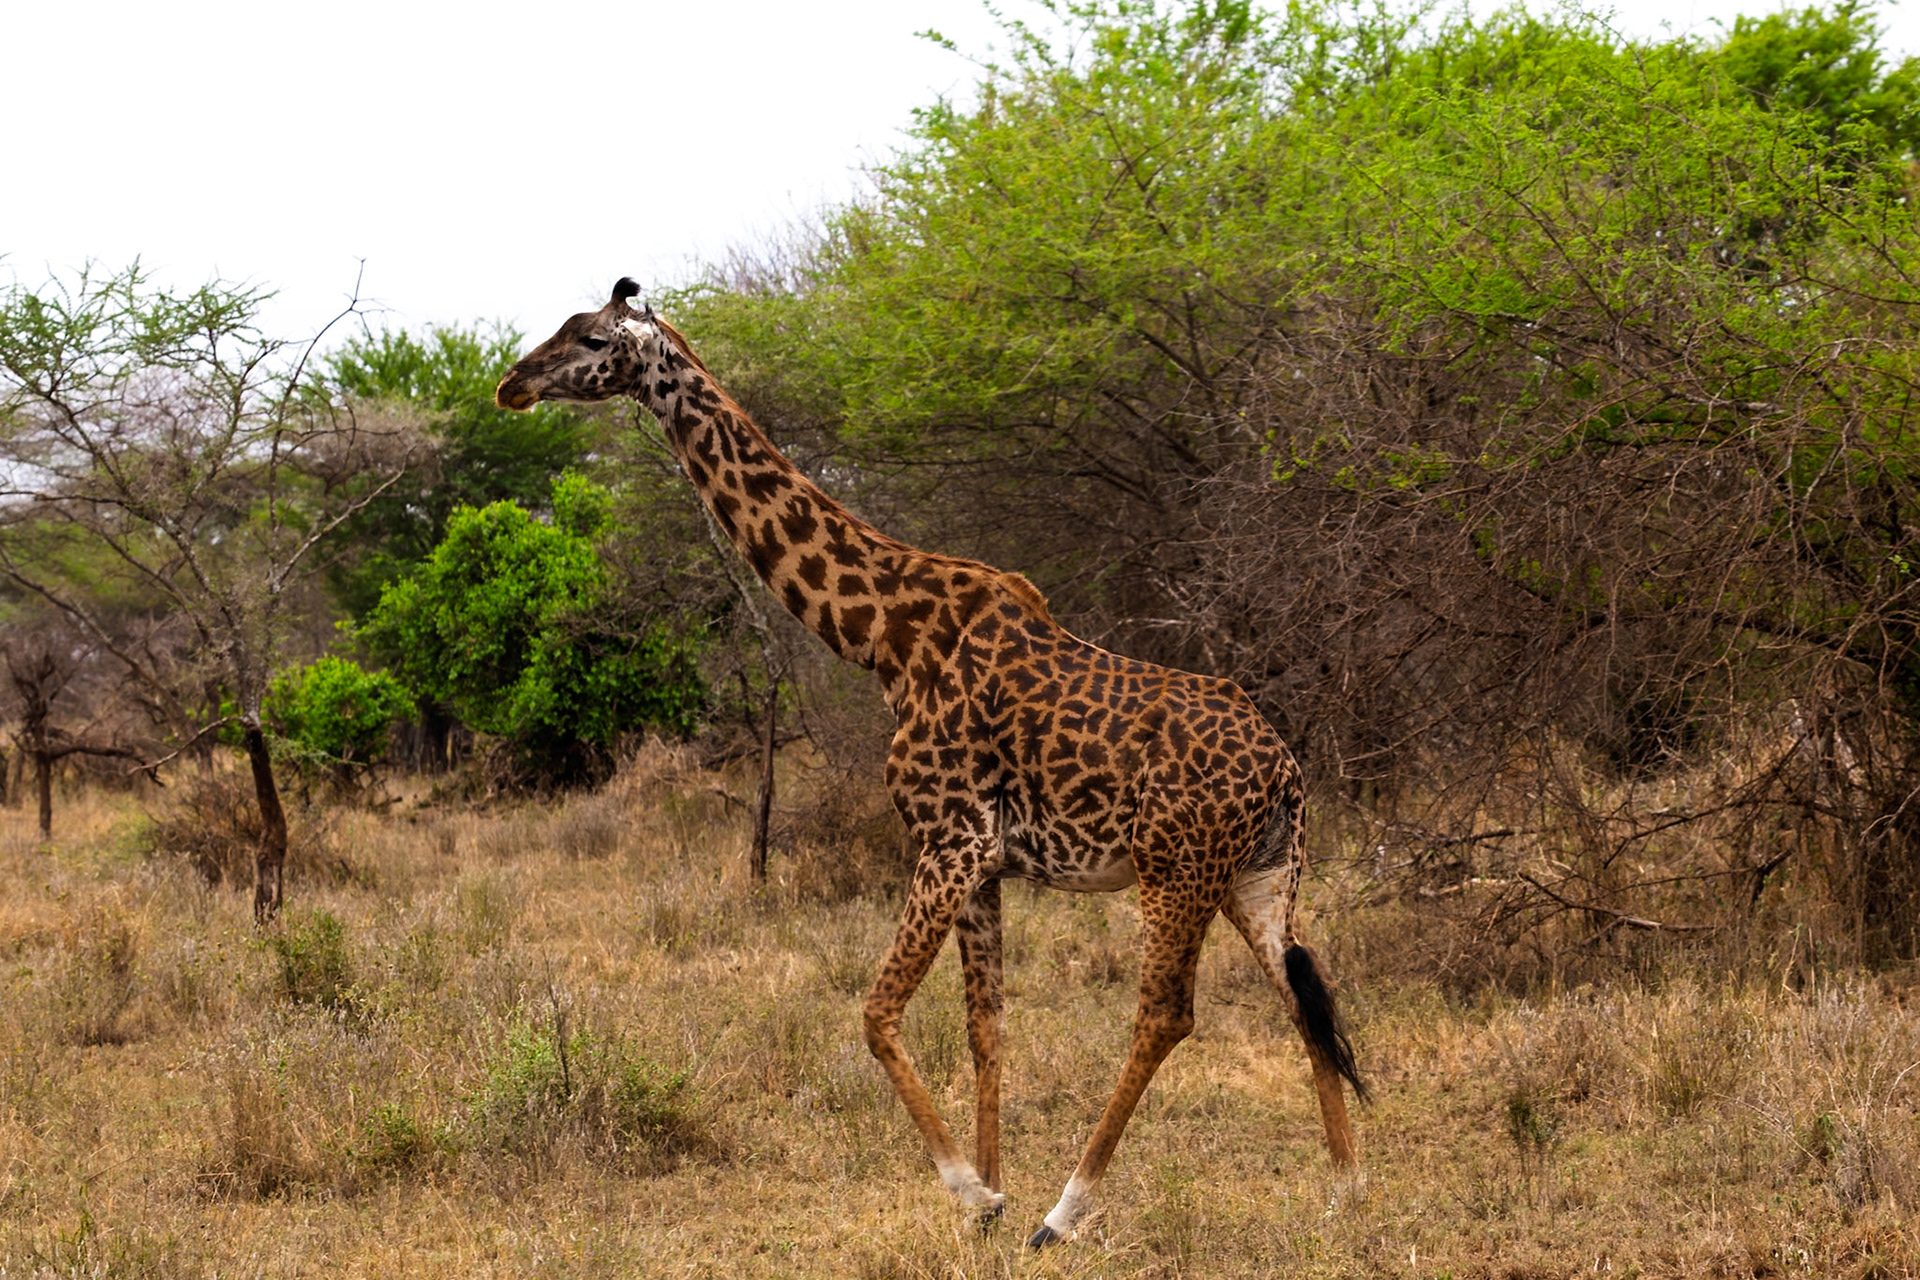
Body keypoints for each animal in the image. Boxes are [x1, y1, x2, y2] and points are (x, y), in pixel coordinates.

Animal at [496, 279, 1367, 1245]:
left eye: (590, 338)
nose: (510, 385)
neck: (881, 634)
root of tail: (1285, 773)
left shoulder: (949, 839)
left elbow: (876, 1014)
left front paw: (977, 1193)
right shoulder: (986, 861)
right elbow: (986, 1027)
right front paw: (987, 1203)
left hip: (1174, 869)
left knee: (1166, 1013)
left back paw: (1066, 1211)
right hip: (1261, 876)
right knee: (1306, 991)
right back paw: (1343, 1194)